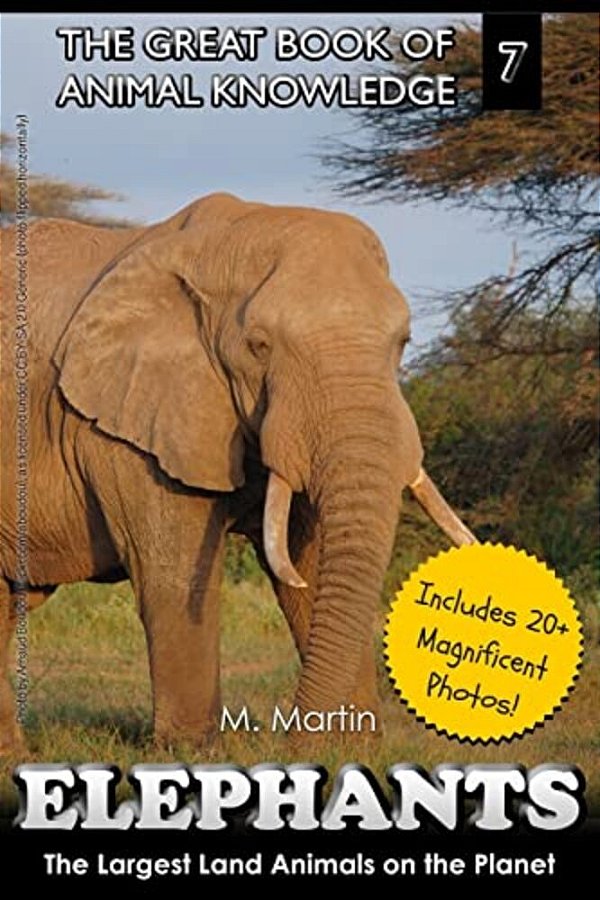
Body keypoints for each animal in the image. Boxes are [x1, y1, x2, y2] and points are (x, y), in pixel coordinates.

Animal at [0, 192, 475, 750]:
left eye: (404, 341)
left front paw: (350, 749)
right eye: (259, 346)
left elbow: (312, 562)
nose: (292, 741)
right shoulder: (126, 427)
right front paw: (194, 753)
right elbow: (175, 577)